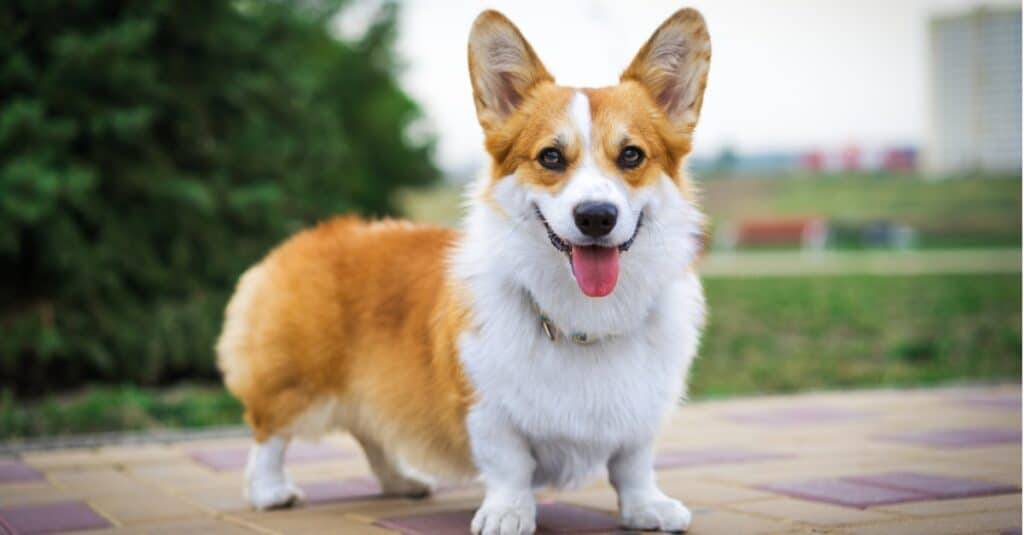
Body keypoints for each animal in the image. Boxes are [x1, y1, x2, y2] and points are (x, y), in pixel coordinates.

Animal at [217, 8, 708, 532]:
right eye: (551, 156)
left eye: (631, 155)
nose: (596, 216)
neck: (582, 318)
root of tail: (305, 239)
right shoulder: (487, 406)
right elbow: (510, 464)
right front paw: (508, 513)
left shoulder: (640, 411)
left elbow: (632, 464)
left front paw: (647, 507)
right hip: (297, 382)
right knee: (268, 432)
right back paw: (270, 491)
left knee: (372, 432)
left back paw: (403, 482)